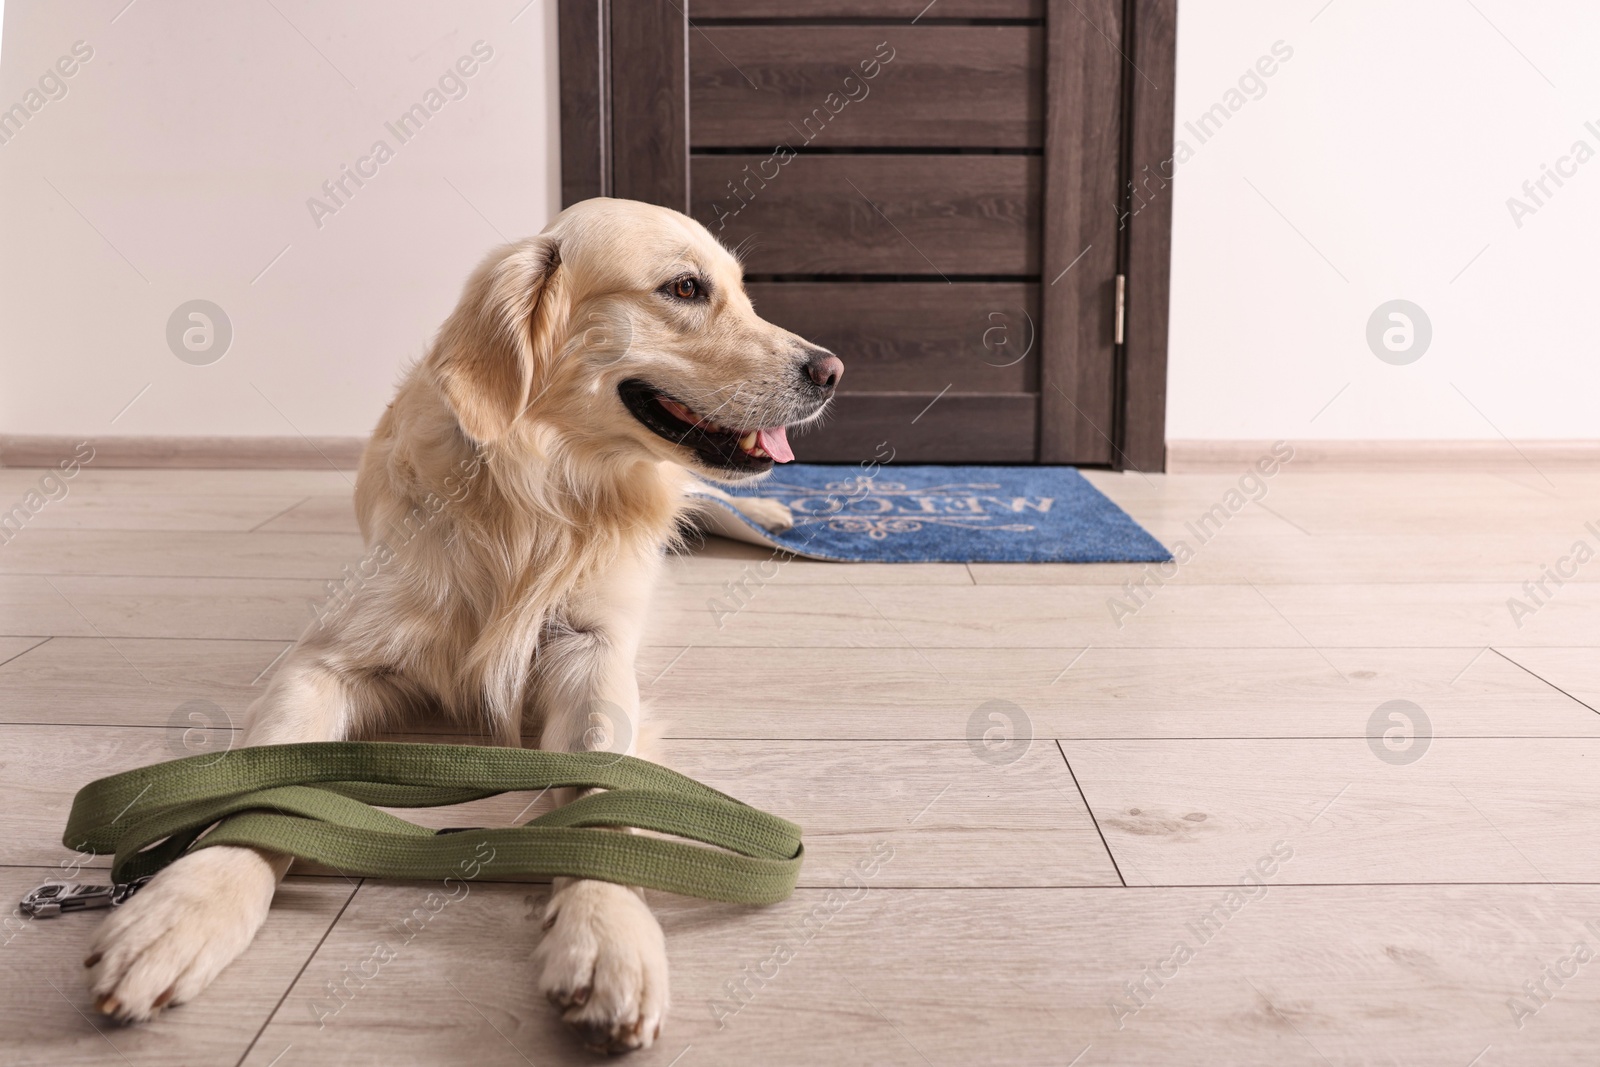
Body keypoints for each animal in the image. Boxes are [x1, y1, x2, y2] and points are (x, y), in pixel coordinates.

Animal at [86, 198, 844, 1049]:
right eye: (685, 287)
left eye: (742, 290)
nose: (831, 370)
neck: (538, 495)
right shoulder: (325, 659)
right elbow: (264, 787)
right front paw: (181, 909)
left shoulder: (591, 652)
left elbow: (607, 792)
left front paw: (607, 930)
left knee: (716, 499)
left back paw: (780, 519)